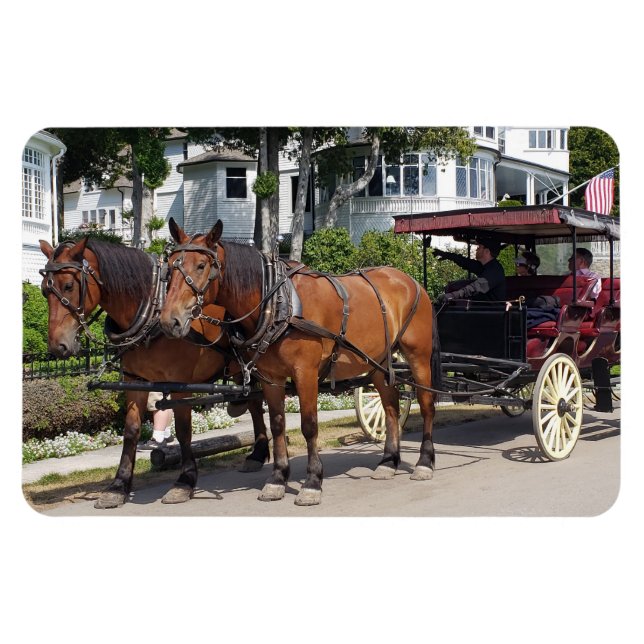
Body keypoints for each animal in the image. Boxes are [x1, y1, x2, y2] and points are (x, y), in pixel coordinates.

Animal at [39, 236, 270, 509]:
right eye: (44, 291)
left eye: (68, 285)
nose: (57, 346)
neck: (152, 312)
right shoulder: (136, 381)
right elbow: (131, 431)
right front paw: (118, 485)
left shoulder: (180, 384)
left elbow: (183, 430)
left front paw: (184, 481)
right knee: (254, 403)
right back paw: (258, 454)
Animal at [159, 218, 441, 506]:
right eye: (169, 267)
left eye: (201, 265)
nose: (170, 320)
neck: (278, 303)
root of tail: (410, 281)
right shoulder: (271, 378)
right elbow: (277, 424)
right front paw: (277, 479)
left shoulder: (305, 373)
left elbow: (309, 425)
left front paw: (313, 481)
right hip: (377, 361)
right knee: (391, 406)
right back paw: (388, 462)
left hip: (418, 357)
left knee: (427, 405)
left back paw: (424, 462)